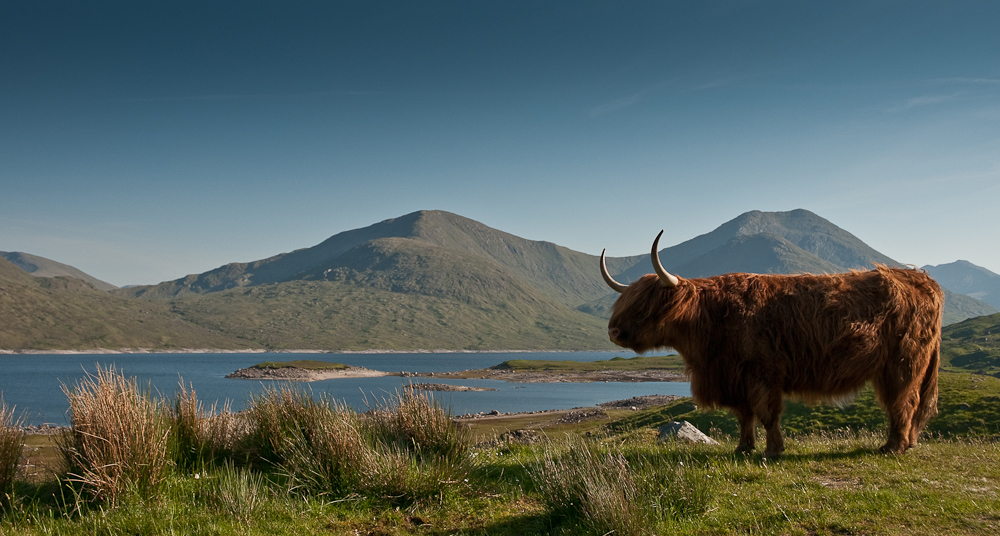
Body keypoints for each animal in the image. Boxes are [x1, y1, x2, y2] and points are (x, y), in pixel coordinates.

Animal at [600, 231, 944, 456]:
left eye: (645, 305)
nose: (613, 332)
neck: (712, 317)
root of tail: (921, 279)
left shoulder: (762, 374)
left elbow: (767, 414)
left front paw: (773, 451)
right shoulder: (734, 377)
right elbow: (744, 416)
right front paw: (743, 448)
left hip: (903, 365)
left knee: (903, 402)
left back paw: (893, 447)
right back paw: (904, 443)